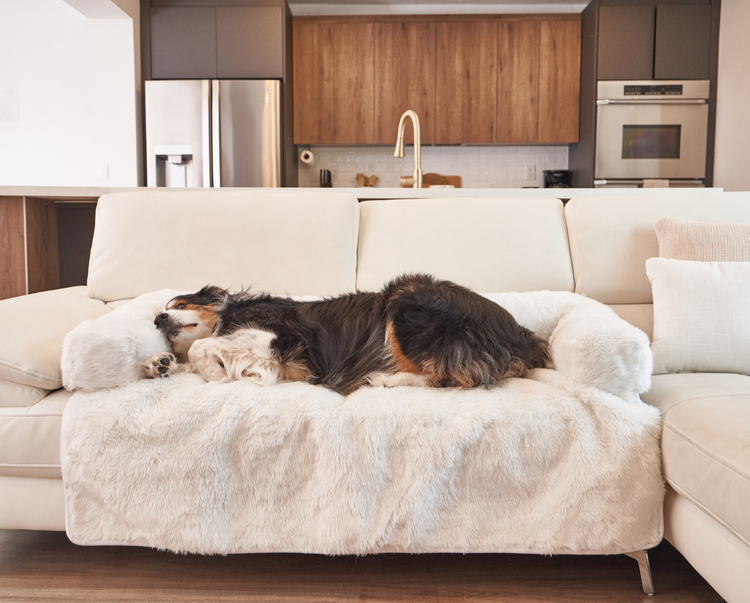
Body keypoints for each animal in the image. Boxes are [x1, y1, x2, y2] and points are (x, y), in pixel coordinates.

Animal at [144, 274, 552, 396]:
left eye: (180, 303)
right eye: (164, 309)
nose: (158, 319)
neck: (231, 311)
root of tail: (521, 333)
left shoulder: (283, 338)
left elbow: (203, 345)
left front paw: (214, 374)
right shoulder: (285, 366)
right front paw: (159, 362)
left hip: (405, 302)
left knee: (452, 377)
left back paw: (382, 380)